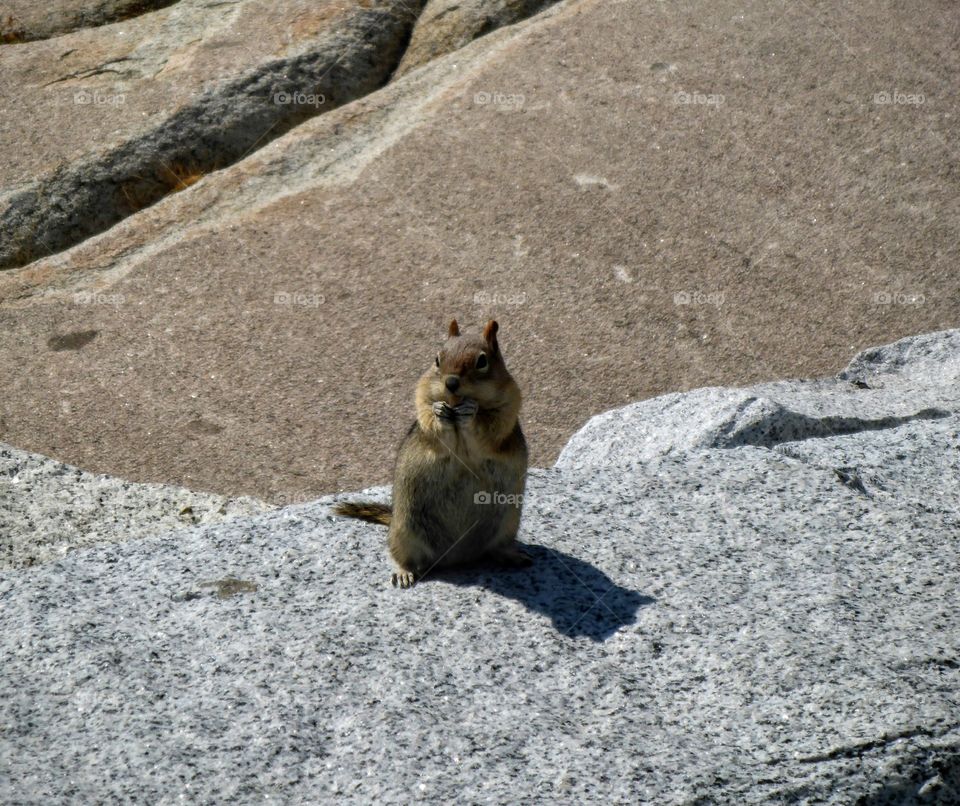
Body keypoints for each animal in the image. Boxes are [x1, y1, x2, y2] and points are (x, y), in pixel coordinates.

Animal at [332, 318, 528, 592]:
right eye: (437, 359)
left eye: (482, 361)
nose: (451, 382)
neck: (456, 406)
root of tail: (457, 558)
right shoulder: (423, 393)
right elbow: (429, 416)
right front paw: (439, 412)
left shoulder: (509, 405)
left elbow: (490, 427)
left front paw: (471, 412)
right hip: (405, 532)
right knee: (402, 557)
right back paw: (404, 572)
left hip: (507, 525)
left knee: (495, 549)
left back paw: (512, 556)